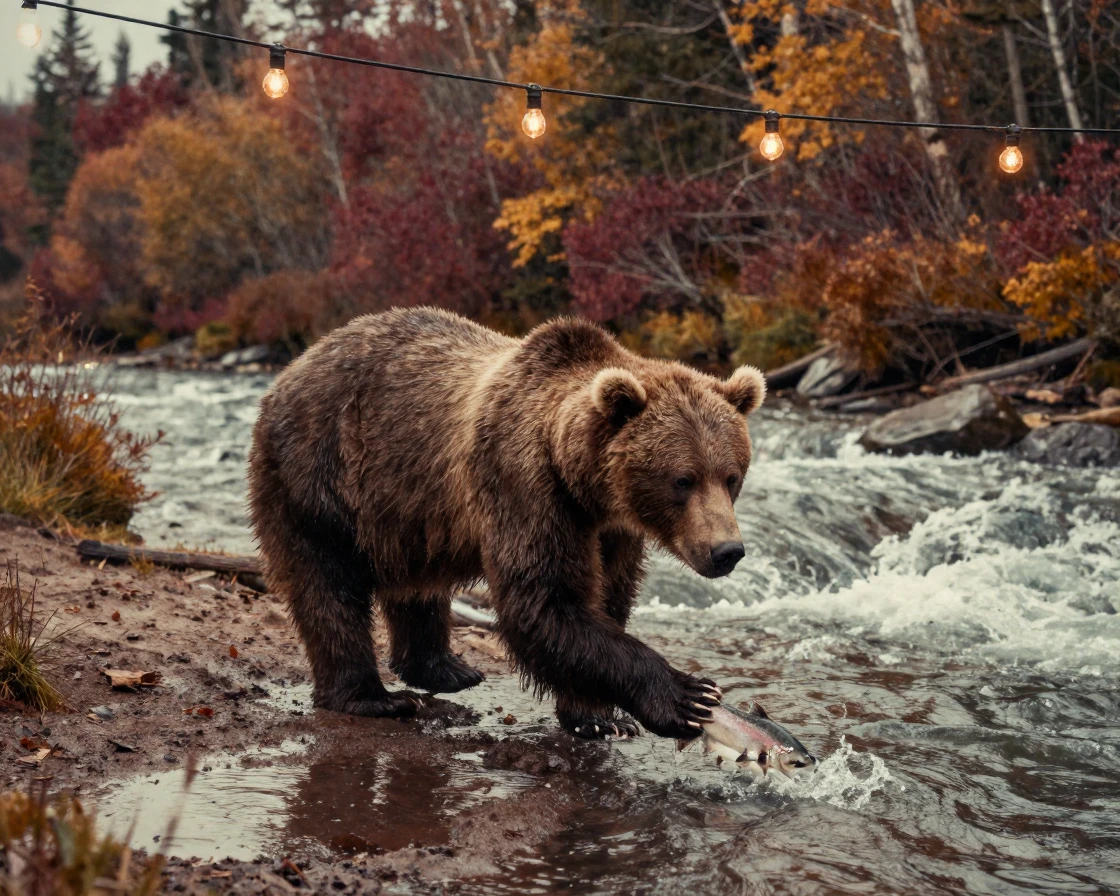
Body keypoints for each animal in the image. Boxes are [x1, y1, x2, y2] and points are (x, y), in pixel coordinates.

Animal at [247, 307, 765, 740]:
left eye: (732, 475)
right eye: (683, 479)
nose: (726, 551)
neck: (584, 483)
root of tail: (289, 370)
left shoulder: (613, 529)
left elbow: (606, 598)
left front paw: (598, 717)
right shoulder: (523, 486)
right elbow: (542, 600)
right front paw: (686, 697)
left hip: (404, 508)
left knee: (415, 584)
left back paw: (445, 669)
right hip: (317, 475)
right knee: (327, 584)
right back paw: (371, 697)